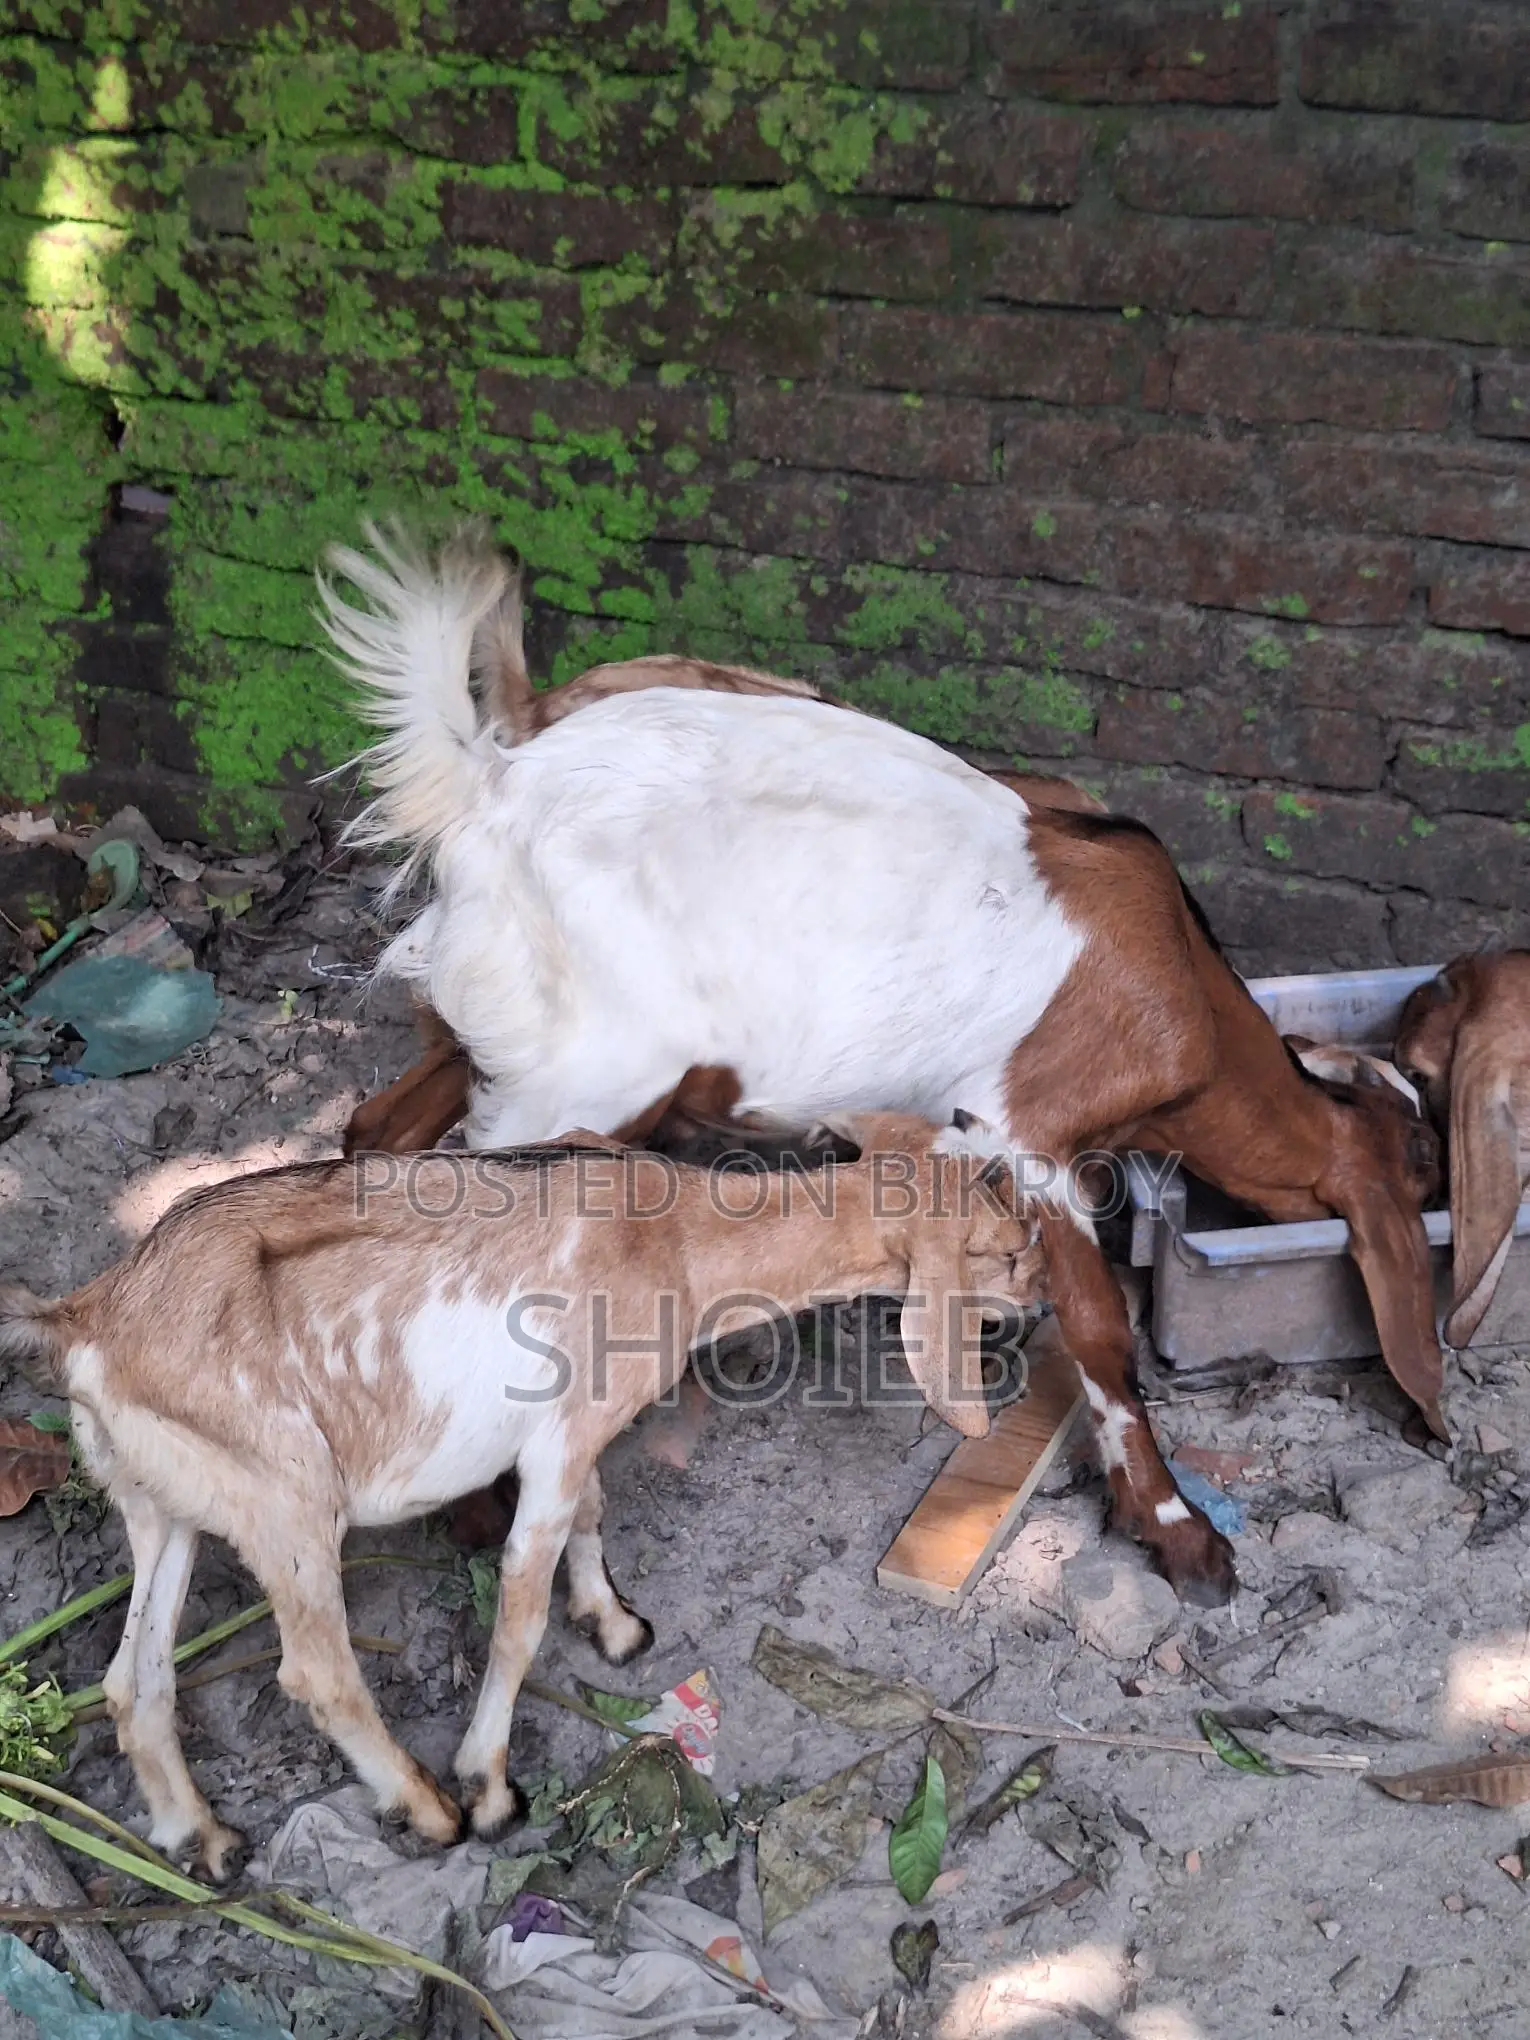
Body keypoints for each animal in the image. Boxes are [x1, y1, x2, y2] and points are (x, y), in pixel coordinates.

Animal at [0, 1119, 1041, 1879]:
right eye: (1007, 1251)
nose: (1036, 1311)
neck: (678, 1241)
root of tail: (86, 1325)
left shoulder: (575, 1438)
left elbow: (594, 1514)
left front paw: (614, 1624)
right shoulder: (559, 1440)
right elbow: (518, 1614)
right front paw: (493, 1784)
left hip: (163, 1505)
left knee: (135, 1678)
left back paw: (201, 1838)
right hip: (285, 1495)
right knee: (316, 1673)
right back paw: (428, 1809)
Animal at [319, 525, 1446, 1605]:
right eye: (1423, 1163)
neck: (1186, 984)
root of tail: (489, 782)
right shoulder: (1025, 1123)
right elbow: (1101, 1332)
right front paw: (1177, 1532)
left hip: (492, 1024)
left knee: (377, 1131)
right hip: (577, 1076)